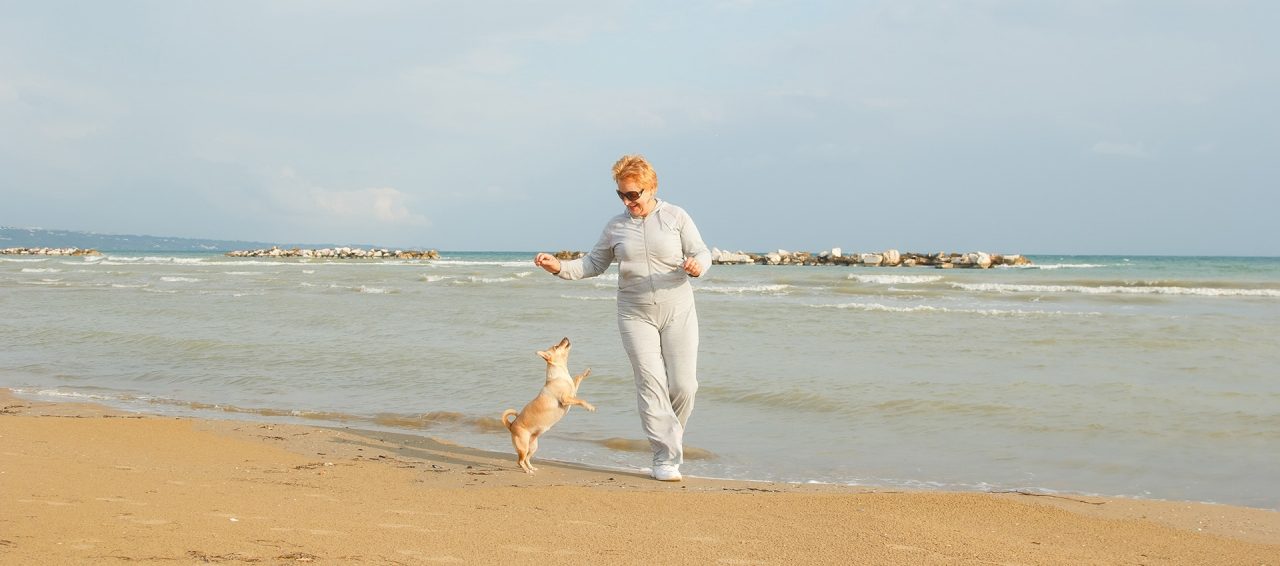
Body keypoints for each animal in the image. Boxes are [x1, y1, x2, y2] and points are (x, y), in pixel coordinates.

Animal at [501, 335, 596, 473]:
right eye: (556, 346)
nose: (565, 337)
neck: (561, 372)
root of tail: (511, 425)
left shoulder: (573, 392)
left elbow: (578, 378)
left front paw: (586, 372)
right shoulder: (566, 399)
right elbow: (581, 400)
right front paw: (590, 407)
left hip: (533, 446)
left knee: (527, 459)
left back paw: (532, 468)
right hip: (523, 446)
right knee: (520, 461)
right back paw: (527, 471)